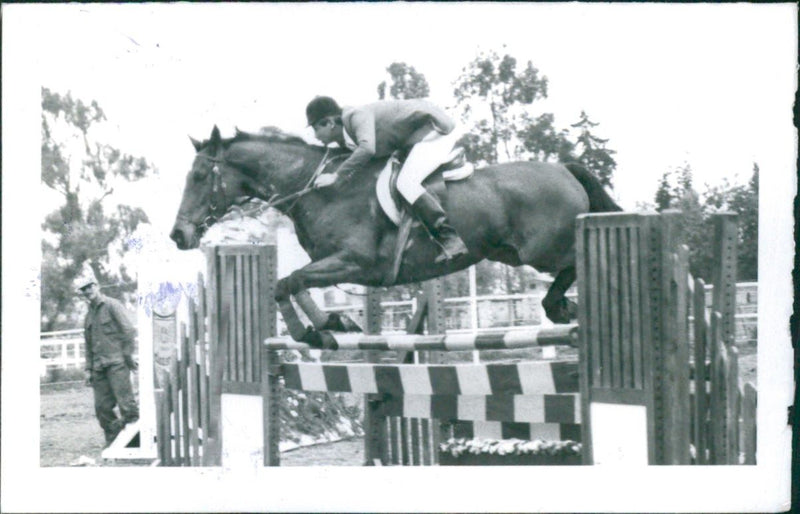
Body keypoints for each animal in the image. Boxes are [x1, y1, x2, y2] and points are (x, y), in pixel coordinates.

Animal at [169, 126, 620, 346]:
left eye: (199, 176)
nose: (178, 235)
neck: (319, 188)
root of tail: (564, 168)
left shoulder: (355, 262)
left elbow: (290, 281)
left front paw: (320, 327)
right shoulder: (336, 265)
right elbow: (288, 284)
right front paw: (330, 324)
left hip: (544, 250)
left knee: (578, 263)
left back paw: (562, 308)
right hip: (512, 254)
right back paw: (562, 309)